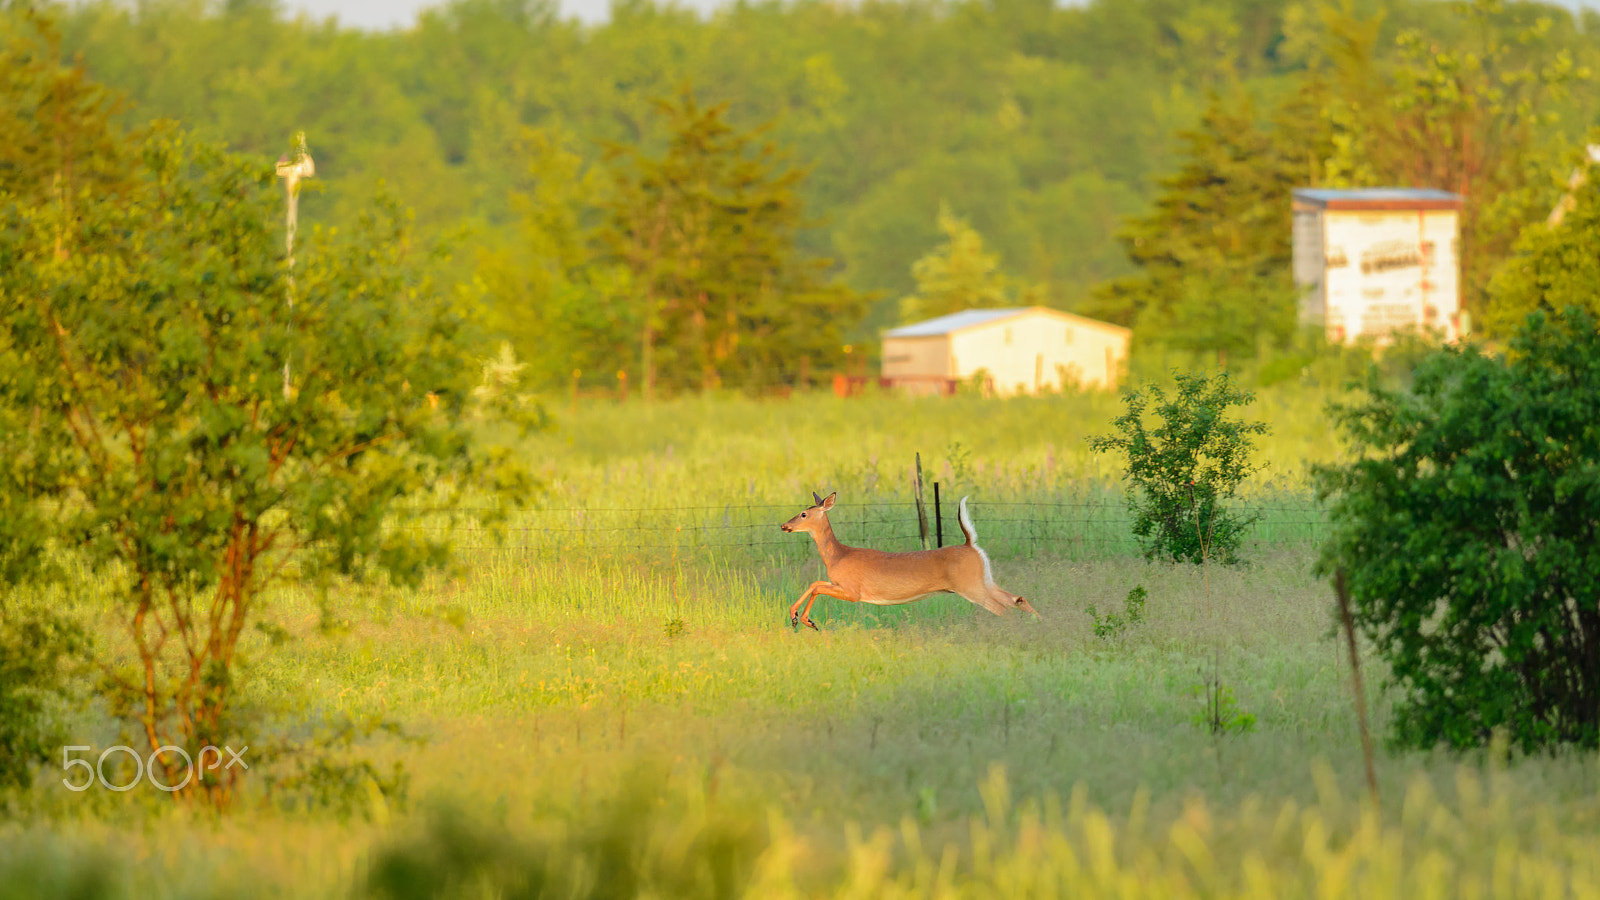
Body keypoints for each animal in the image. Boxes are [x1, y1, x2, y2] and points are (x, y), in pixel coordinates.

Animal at [777, 486, 1036, 627]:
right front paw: (798, 617)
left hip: (971, 587)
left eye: (803, 514)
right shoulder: (839, 584)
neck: (838, 556)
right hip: (984, 580)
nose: (783, 526)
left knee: (1004, 609)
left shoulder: (853, 592)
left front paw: (805, 620)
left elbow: (817, 587)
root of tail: (970, 544)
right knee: (1019, 599)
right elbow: (816, 583)